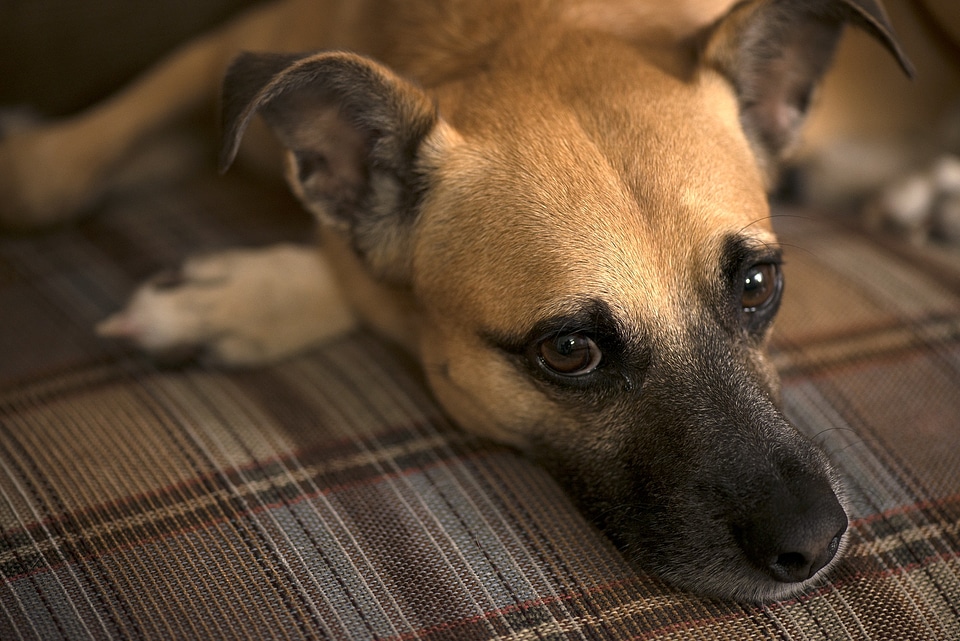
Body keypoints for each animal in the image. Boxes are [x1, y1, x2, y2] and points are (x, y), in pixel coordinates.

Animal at [0, 0, 912, 604]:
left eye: (758, 284)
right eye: (569, 350)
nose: (815, 543)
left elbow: (356, 273)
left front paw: (235, 299)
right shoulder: (231, 43)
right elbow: (51, 175)